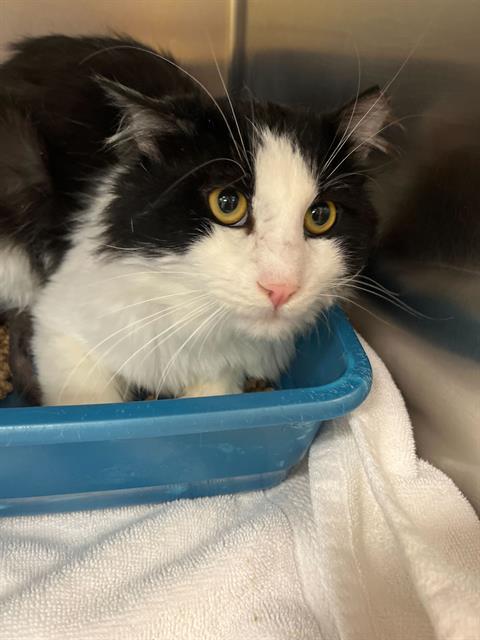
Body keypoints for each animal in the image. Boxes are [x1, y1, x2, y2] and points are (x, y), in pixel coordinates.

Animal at [0, 33, 390, 404]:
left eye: (321, 216)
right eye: (227, 204)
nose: (281, 289)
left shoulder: (225, 371)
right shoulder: (61, 325)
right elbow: (92, 401)